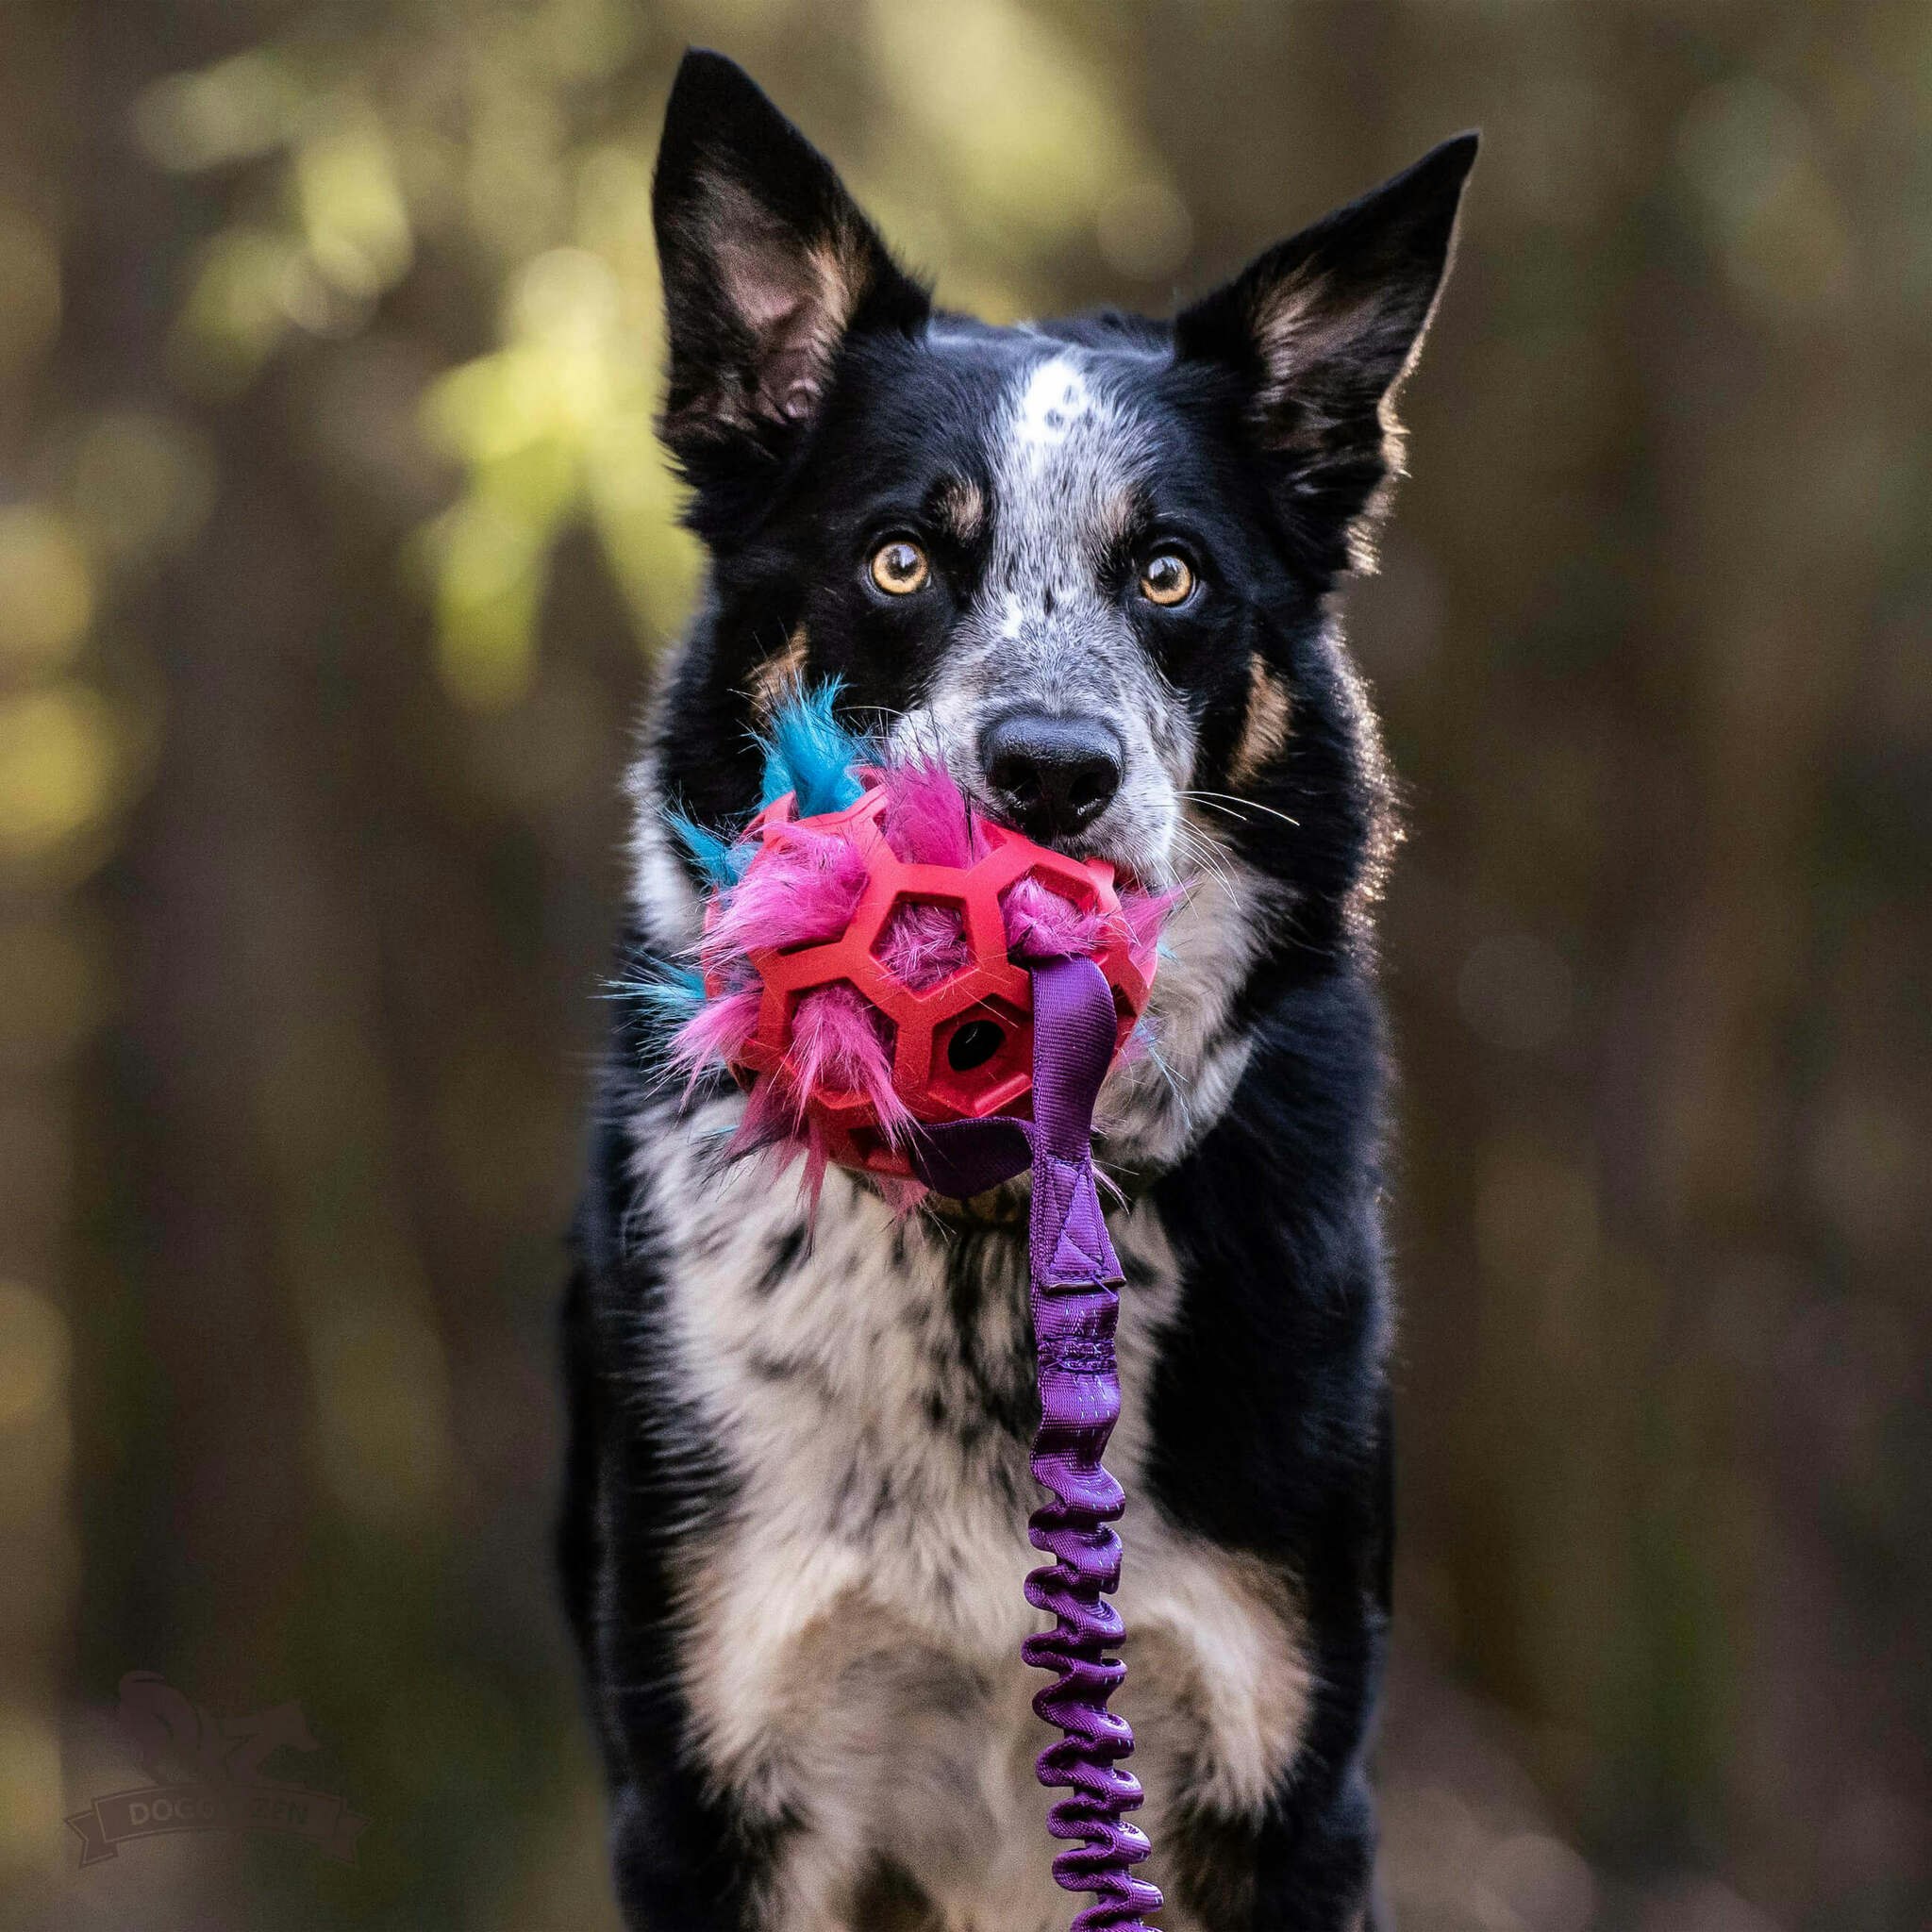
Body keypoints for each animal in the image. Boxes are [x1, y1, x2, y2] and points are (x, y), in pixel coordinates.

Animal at [564, 45, 1475, 1932]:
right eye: (904, 560)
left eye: (1169, 572)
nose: (1050, 770)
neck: (993, 1236)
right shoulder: (708, 1787)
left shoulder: (1284, 1786)